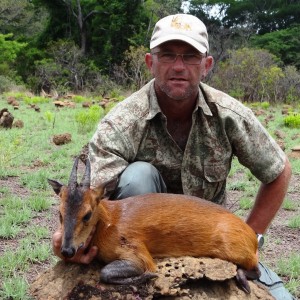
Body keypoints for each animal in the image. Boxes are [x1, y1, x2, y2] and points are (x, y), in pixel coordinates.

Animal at [48, 157, 260, 292]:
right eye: (60, 213)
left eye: (87, 214)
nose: (67, 250)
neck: (108, 223)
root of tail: (253, 237)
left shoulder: (137, 253)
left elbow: (106, 272)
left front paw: (146, 278)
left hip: (236, 250)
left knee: (256, 269)